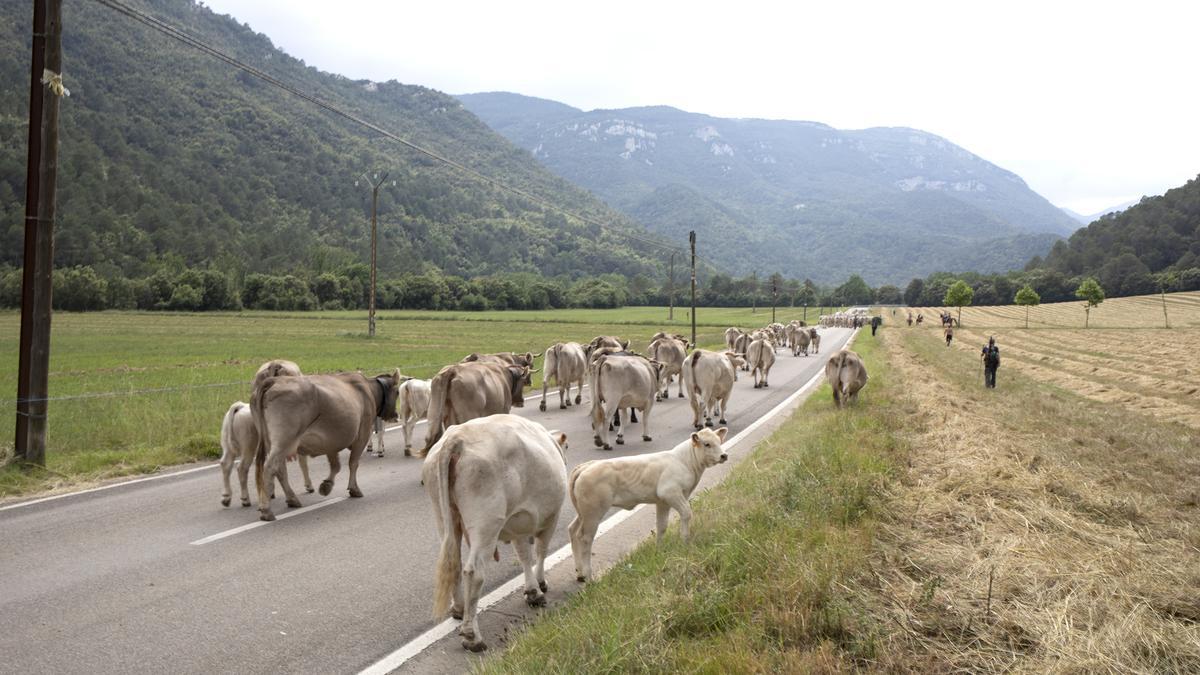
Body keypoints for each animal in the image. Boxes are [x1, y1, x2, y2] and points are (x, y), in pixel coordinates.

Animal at [424, 413, 568, 648]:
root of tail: (457, 438)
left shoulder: (519, 522)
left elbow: (524, 555)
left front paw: (532, 591)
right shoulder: (551, 517)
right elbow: (540, 551)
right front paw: (540, 583)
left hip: (444, 518)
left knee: (454, 563)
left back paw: (459, 609)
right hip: (486, 523)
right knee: (473, 571)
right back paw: (472, 636)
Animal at [571, 425, 729, 578]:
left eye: (719, 441)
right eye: (707, 444)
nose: (724, 455)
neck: (684, 462)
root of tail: (586, 466)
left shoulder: (663, 502)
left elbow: (661, 526)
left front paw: (659, 551)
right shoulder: (670, 493)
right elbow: (686, 513)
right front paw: (685, 542)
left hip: (582, 512)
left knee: (573, 531)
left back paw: (579, 572)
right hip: (593, 512)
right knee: (585, 538)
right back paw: (588, 577)